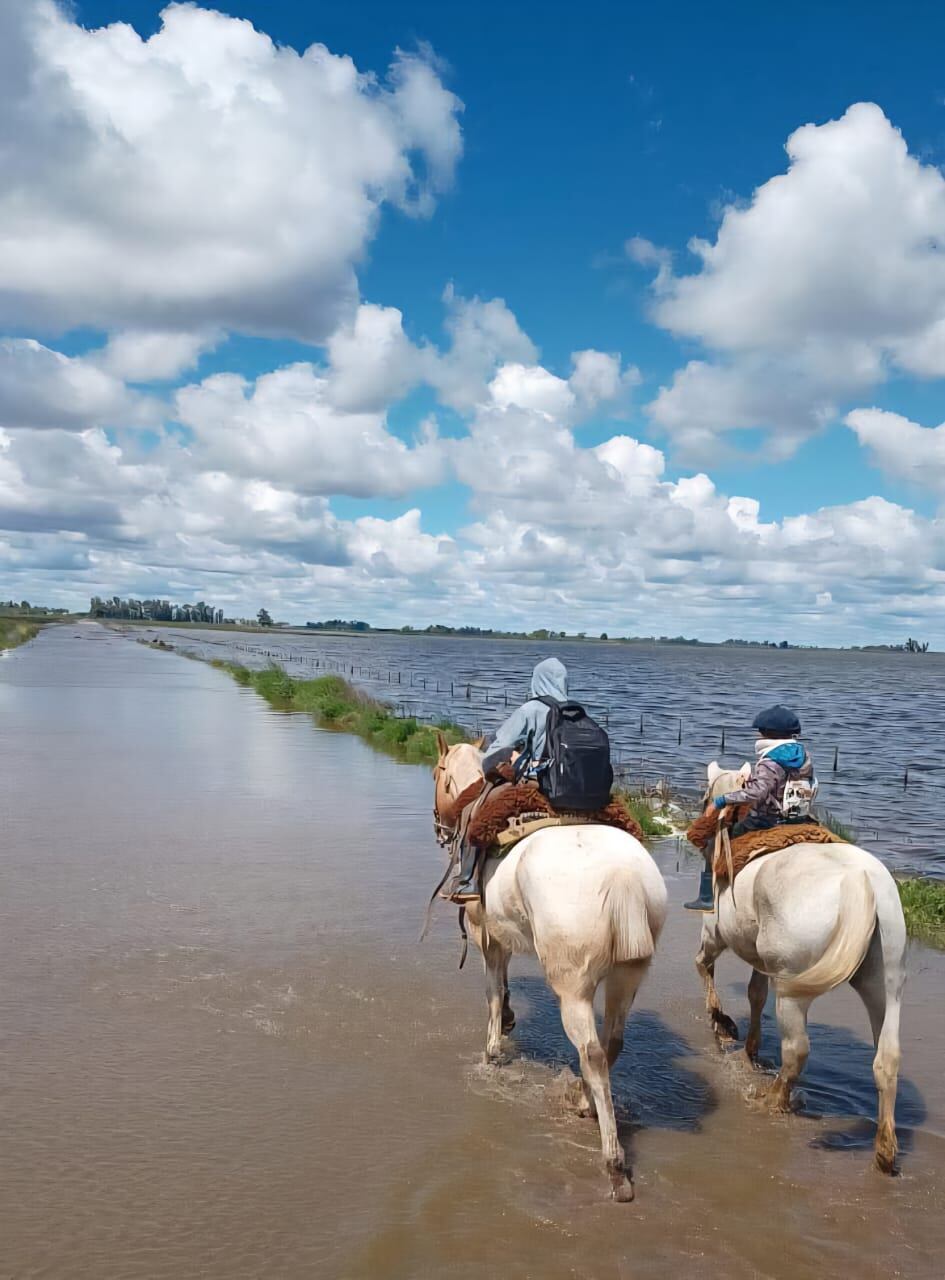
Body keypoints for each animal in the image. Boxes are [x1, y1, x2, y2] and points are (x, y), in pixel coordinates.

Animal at [432, 735, 668, 1201]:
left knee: (592, 1051)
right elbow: (502, 985)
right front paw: (508, 1022)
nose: (438, 827)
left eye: (437, 774)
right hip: (628, 975)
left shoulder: (486, 934)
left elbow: (493, 991)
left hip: (572, 985)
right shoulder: (503, 934)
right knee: (611, 1043)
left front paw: (493, 1047)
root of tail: (623, 878)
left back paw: (613, 1163)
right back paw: (584, 1102)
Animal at [695, 763, 907, 1174]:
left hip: (794, 993)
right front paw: (748, 1047)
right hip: (884, 987)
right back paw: (885, 1151)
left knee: (796, 1052)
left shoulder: (715, 931)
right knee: (886, 1060)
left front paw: (722, 1023)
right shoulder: (761, 961)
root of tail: (860, 881)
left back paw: (773, 1100)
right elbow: (754, 994)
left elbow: (704, 966)